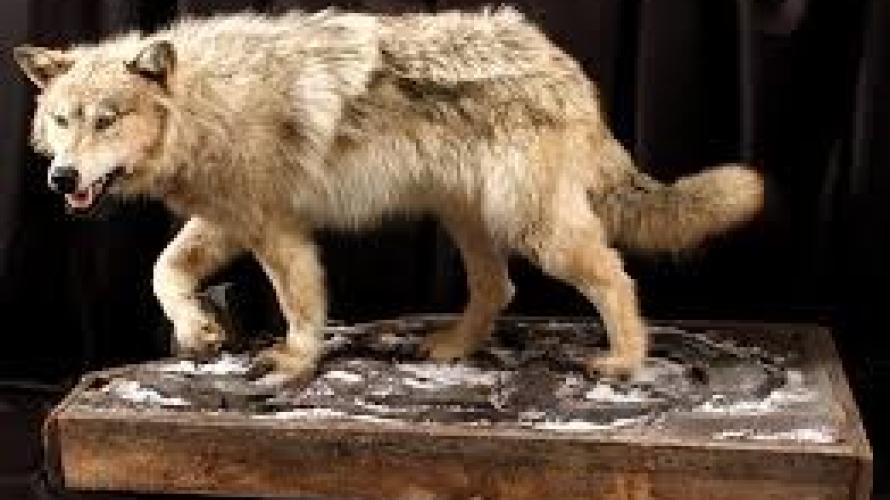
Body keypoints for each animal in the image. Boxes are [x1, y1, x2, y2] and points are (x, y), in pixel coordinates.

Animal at [14, 7, 764, 383]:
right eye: (63, 120)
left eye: (106, 119)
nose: (62, 179)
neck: (207, 99)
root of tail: (566, 66)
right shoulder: (228, 221)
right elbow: (162, 273)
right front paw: (199, 331)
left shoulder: (273, 229)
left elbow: (299, 303)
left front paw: (293, 362)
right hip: (468, 221)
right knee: (498, 289)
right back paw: (452, 350)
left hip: (534, 228)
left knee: (615, 278)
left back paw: (625, 362)